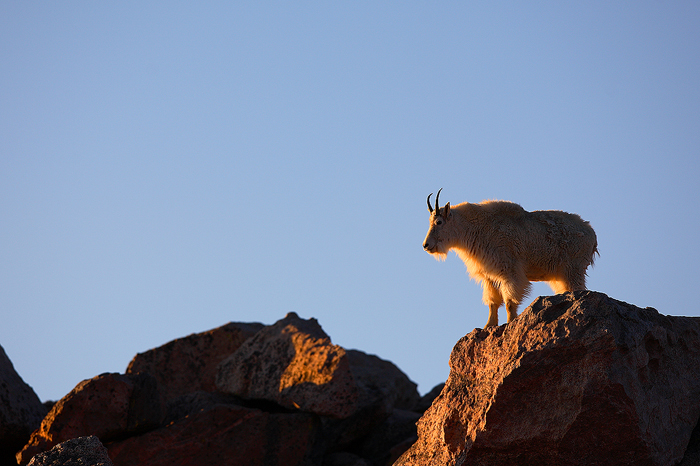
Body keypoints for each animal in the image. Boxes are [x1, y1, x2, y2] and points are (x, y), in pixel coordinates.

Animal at [423, 189, 598, 327]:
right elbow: (492, 302)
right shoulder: (489, 275)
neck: (475, 228)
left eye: (439, 222)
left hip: (573, 269)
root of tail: (592, 234)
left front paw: (510, 322)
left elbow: (509, 301)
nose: (426, 245)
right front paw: (488, 325)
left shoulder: (510, 271)